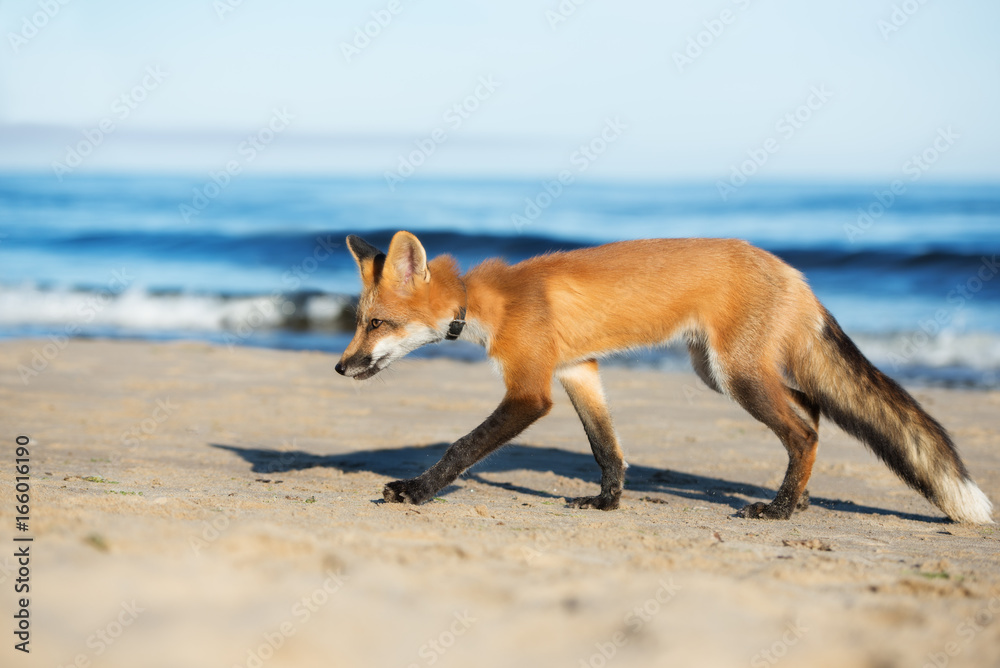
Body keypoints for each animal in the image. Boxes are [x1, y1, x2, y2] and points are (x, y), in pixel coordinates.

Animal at [334, 231, 994, 523]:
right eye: (359, 323)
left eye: (375, 323)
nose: (341, 366)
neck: (486, 303)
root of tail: (792, 272)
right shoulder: (578, 371)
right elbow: (607, 449)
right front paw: (607, 502)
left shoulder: (530, 391)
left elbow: (461, 447)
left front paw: (416, 490)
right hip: (723, 372)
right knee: (811, 410)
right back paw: (799, 499)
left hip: (736, 376)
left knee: (805, 428)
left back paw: (780, 508)